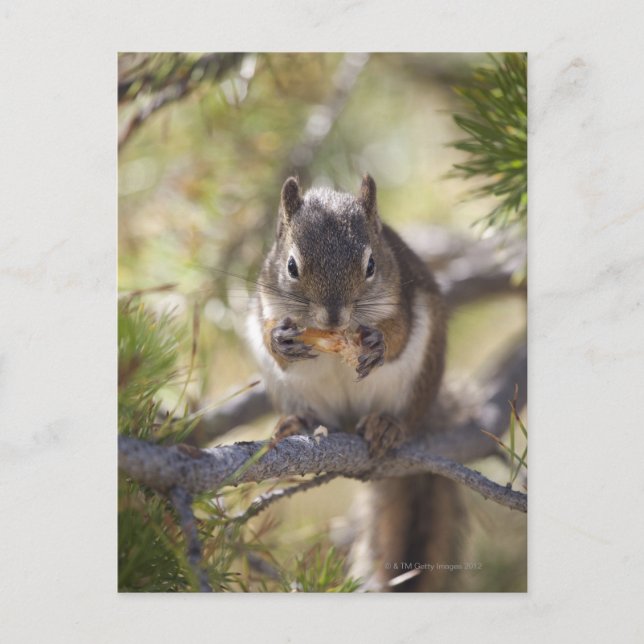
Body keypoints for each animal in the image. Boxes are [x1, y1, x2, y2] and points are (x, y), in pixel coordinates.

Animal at [247, 174, 464, 591]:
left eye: (371, 265)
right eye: (291, 266)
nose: (333, 317)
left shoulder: (402, 298)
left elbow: (398, 332)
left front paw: (379, 343)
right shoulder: (265, 301)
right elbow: (271, 335)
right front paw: (280, 340)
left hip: (419, 380)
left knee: (407, 419)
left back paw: (387, 426)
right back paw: (297, 422)